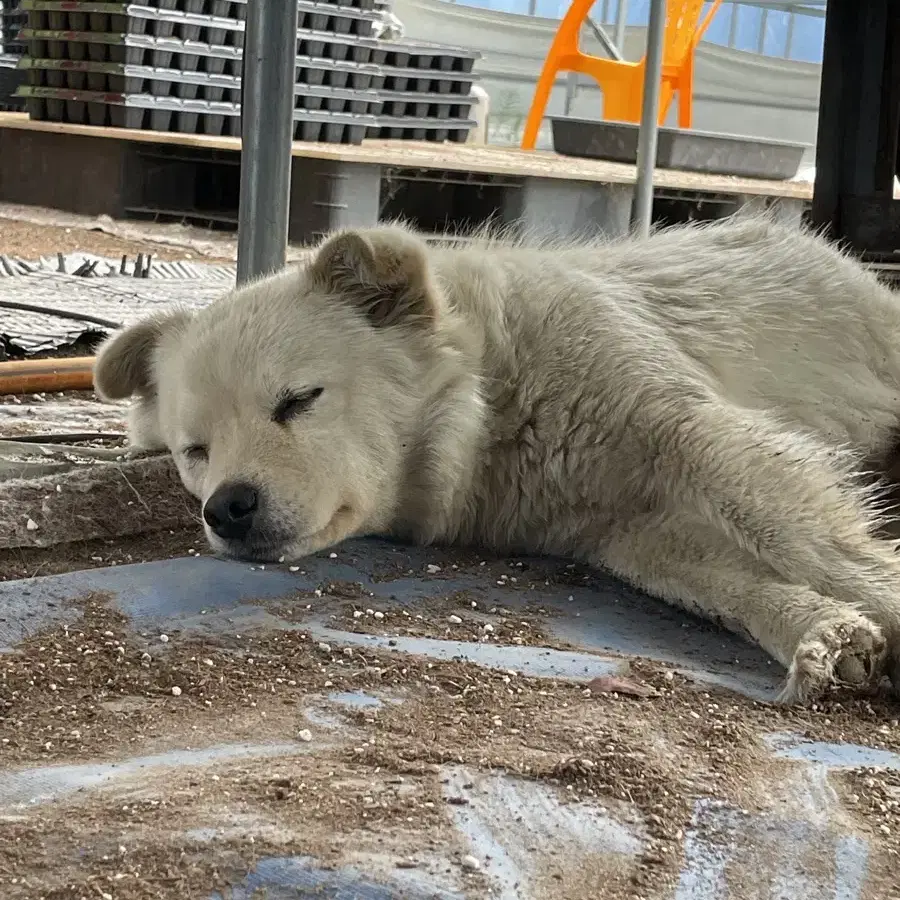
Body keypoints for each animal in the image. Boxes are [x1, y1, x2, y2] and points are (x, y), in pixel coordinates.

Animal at [93, 213, 900, 704]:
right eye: (195, 451)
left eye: (298, 400)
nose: (226, 508)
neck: (498, 404)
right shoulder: (626, 530)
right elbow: (727, 585)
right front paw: (825, 633)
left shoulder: (689, 432)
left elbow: (801, 535)